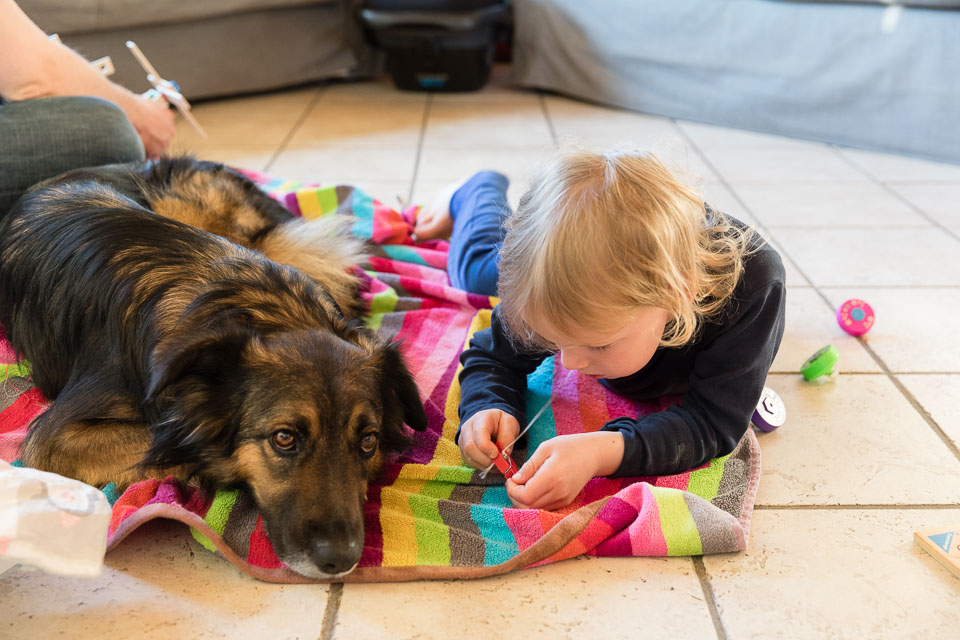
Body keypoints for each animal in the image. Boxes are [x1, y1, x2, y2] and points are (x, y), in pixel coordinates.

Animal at [0, 158, 427, 579]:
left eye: (368, 441)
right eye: (284, 439)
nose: (341, 560)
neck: (261, 310)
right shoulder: (55, 438)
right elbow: (180, 442)